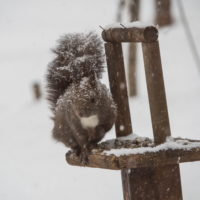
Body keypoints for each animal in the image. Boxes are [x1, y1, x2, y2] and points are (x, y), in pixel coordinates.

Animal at [46, 31, 116, 164]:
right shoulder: (74, 121)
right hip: (64, 131)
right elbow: (81, 138)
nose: (81, 113)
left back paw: (93, 144)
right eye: (72, 101)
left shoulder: (109, 114)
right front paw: (84, 152)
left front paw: (95, 137)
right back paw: (76, 150)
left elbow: (104, 128)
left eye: (93, 99)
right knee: (72, 142)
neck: (89, 118)